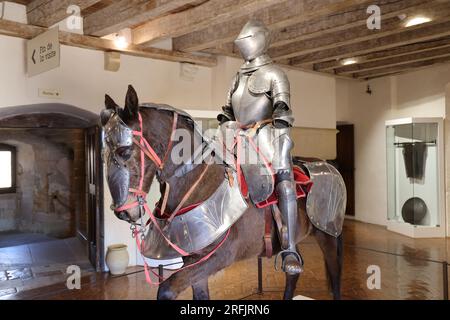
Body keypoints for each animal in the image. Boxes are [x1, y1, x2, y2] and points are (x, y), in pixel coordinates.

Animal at [102, 85, 344, 300]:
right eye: (104, 153)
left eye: (124, 151)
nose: (123, 212)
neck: (199, 183)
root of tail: (327, 165)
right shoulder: (195, 261)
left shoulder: (218, 258)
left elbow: (166, 290)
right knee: (294, 269)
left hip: (328, 234)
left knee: (334, 277)